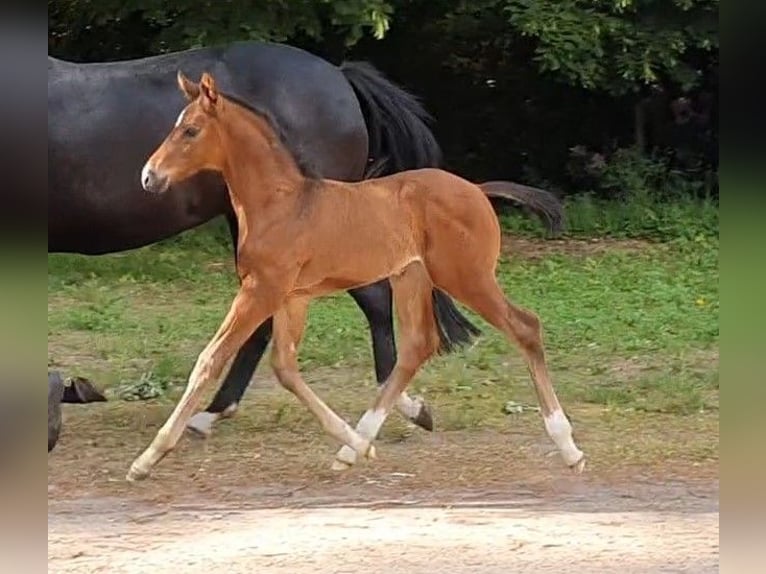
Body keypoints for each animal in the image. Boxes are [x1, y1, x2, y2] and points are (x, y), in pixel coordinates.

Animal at [130, 73, 588, 486]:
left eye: (190, 130)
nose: (149, 176)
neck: (282, 204)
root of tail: (477, 190)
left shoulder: (261, 290)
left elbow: (211, 359)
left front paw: (148, 457)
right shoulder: (291, 297)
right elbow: (285, 368)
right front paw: (356, 444)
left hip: (466, 276)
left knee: (525, 326)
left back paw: (569, 448)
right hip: (411, 278)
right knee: (418, 346)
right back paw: (357, 447)